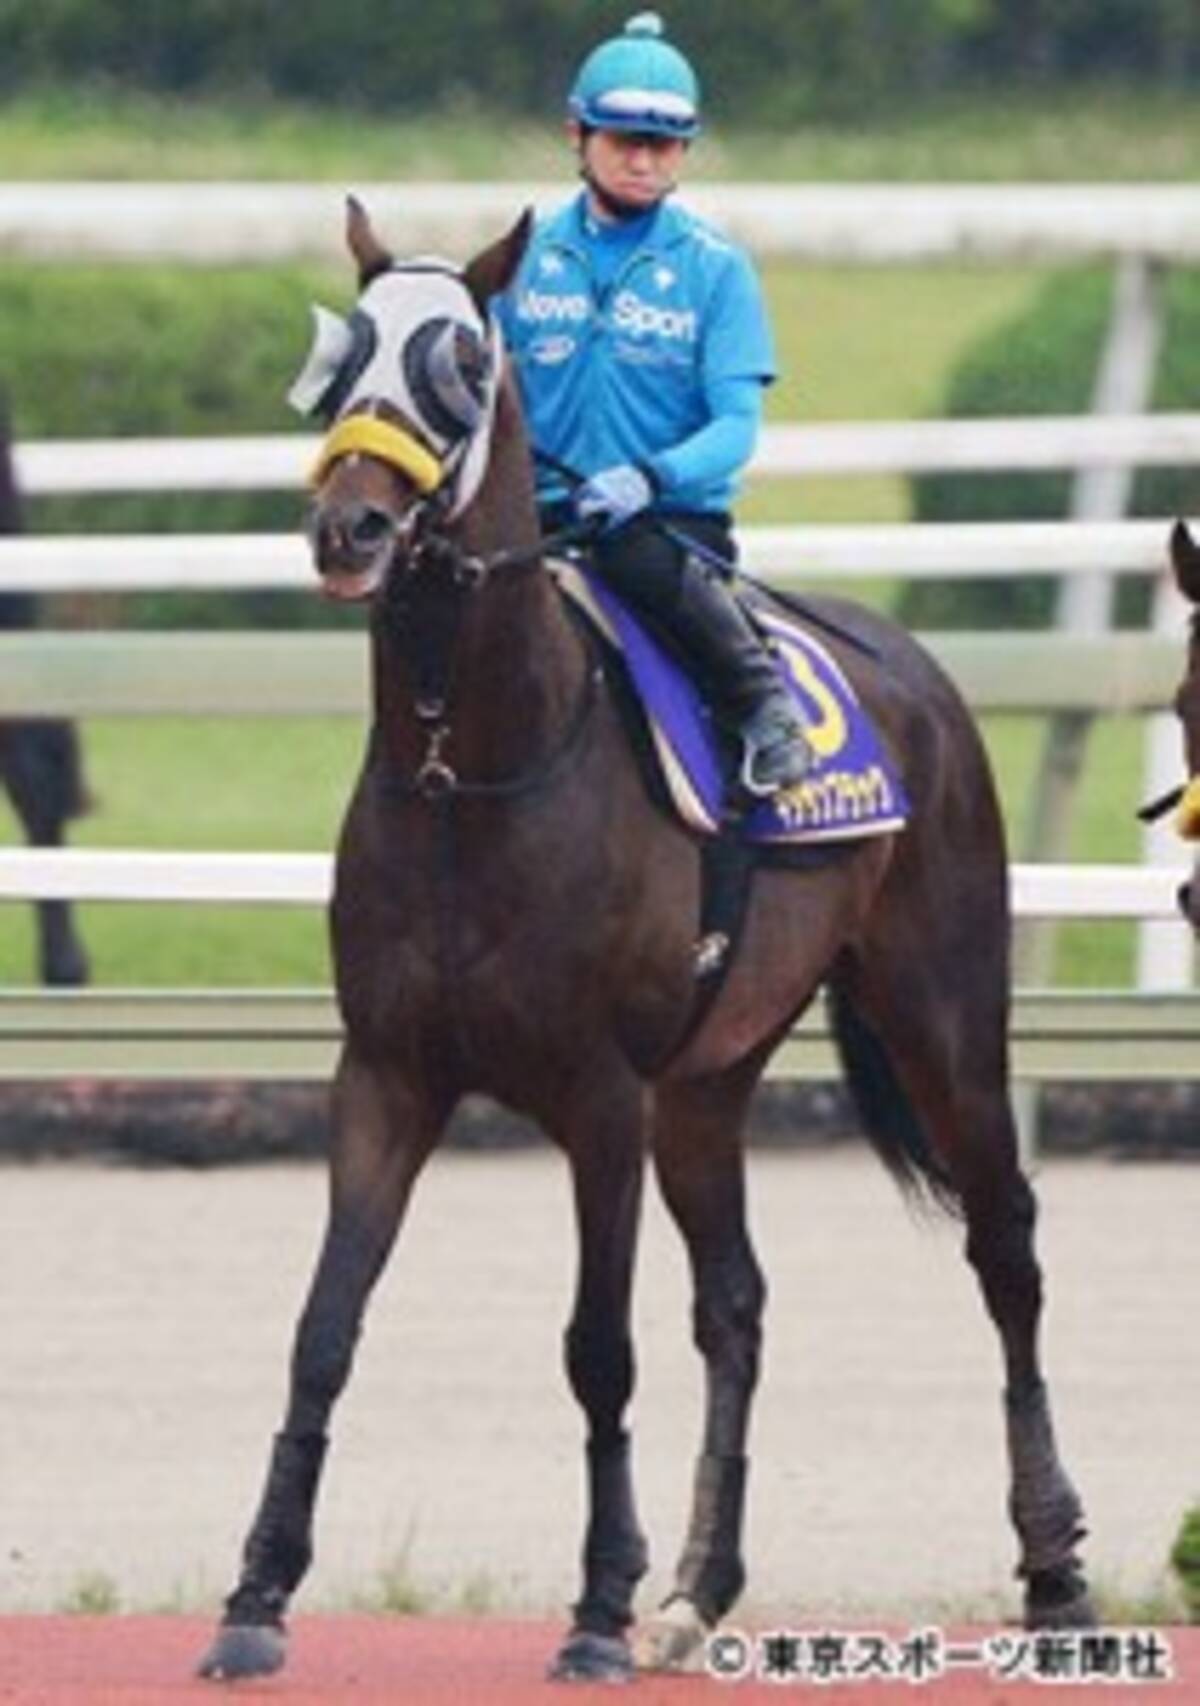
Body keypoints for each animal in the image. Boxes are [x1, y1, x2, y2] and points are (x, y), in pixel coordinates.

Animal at [198, 199, 1093, 1685]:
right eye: (344, 357)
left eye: (461, 365)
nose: (351, 523)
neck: (467, 765)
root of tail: (913, 669)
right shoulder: (386, 1073)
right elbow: (322, 1327)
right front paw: (256, 1594)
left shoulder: (598, 1095)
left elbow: (596, 1348)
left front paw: (598, 1607)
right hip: (708, 1086)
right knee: (735, 1299)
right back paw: (699, 1586)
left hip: (945, 1019)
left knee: (1009, 1255)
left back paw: (1056, 1569)